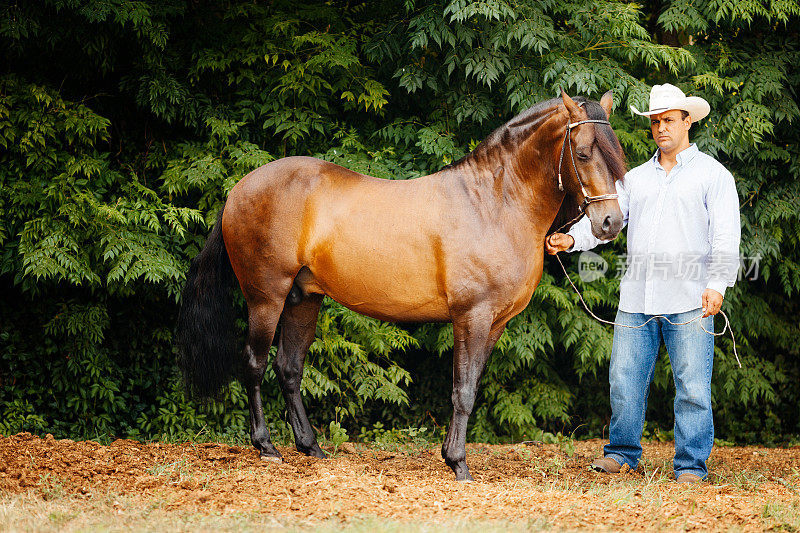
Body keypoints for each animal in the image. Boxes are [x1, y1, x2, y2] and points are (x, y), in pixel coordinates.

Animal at [178, 89, 628, 480]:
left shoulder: (495, 323)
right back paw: (266, 447)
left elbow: (471, 387)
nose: (611, 223)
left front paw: (452, 457)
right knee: (254, 364)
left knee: (289, 368)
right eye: (583, 152)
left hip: (303, 298)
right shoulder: (472, 317)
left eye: (616, 153)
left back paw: (311, 447)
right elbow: (463, 391)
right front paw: (458, 464)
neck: (493, 202)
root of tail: (238, 189)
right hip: (266, 298)